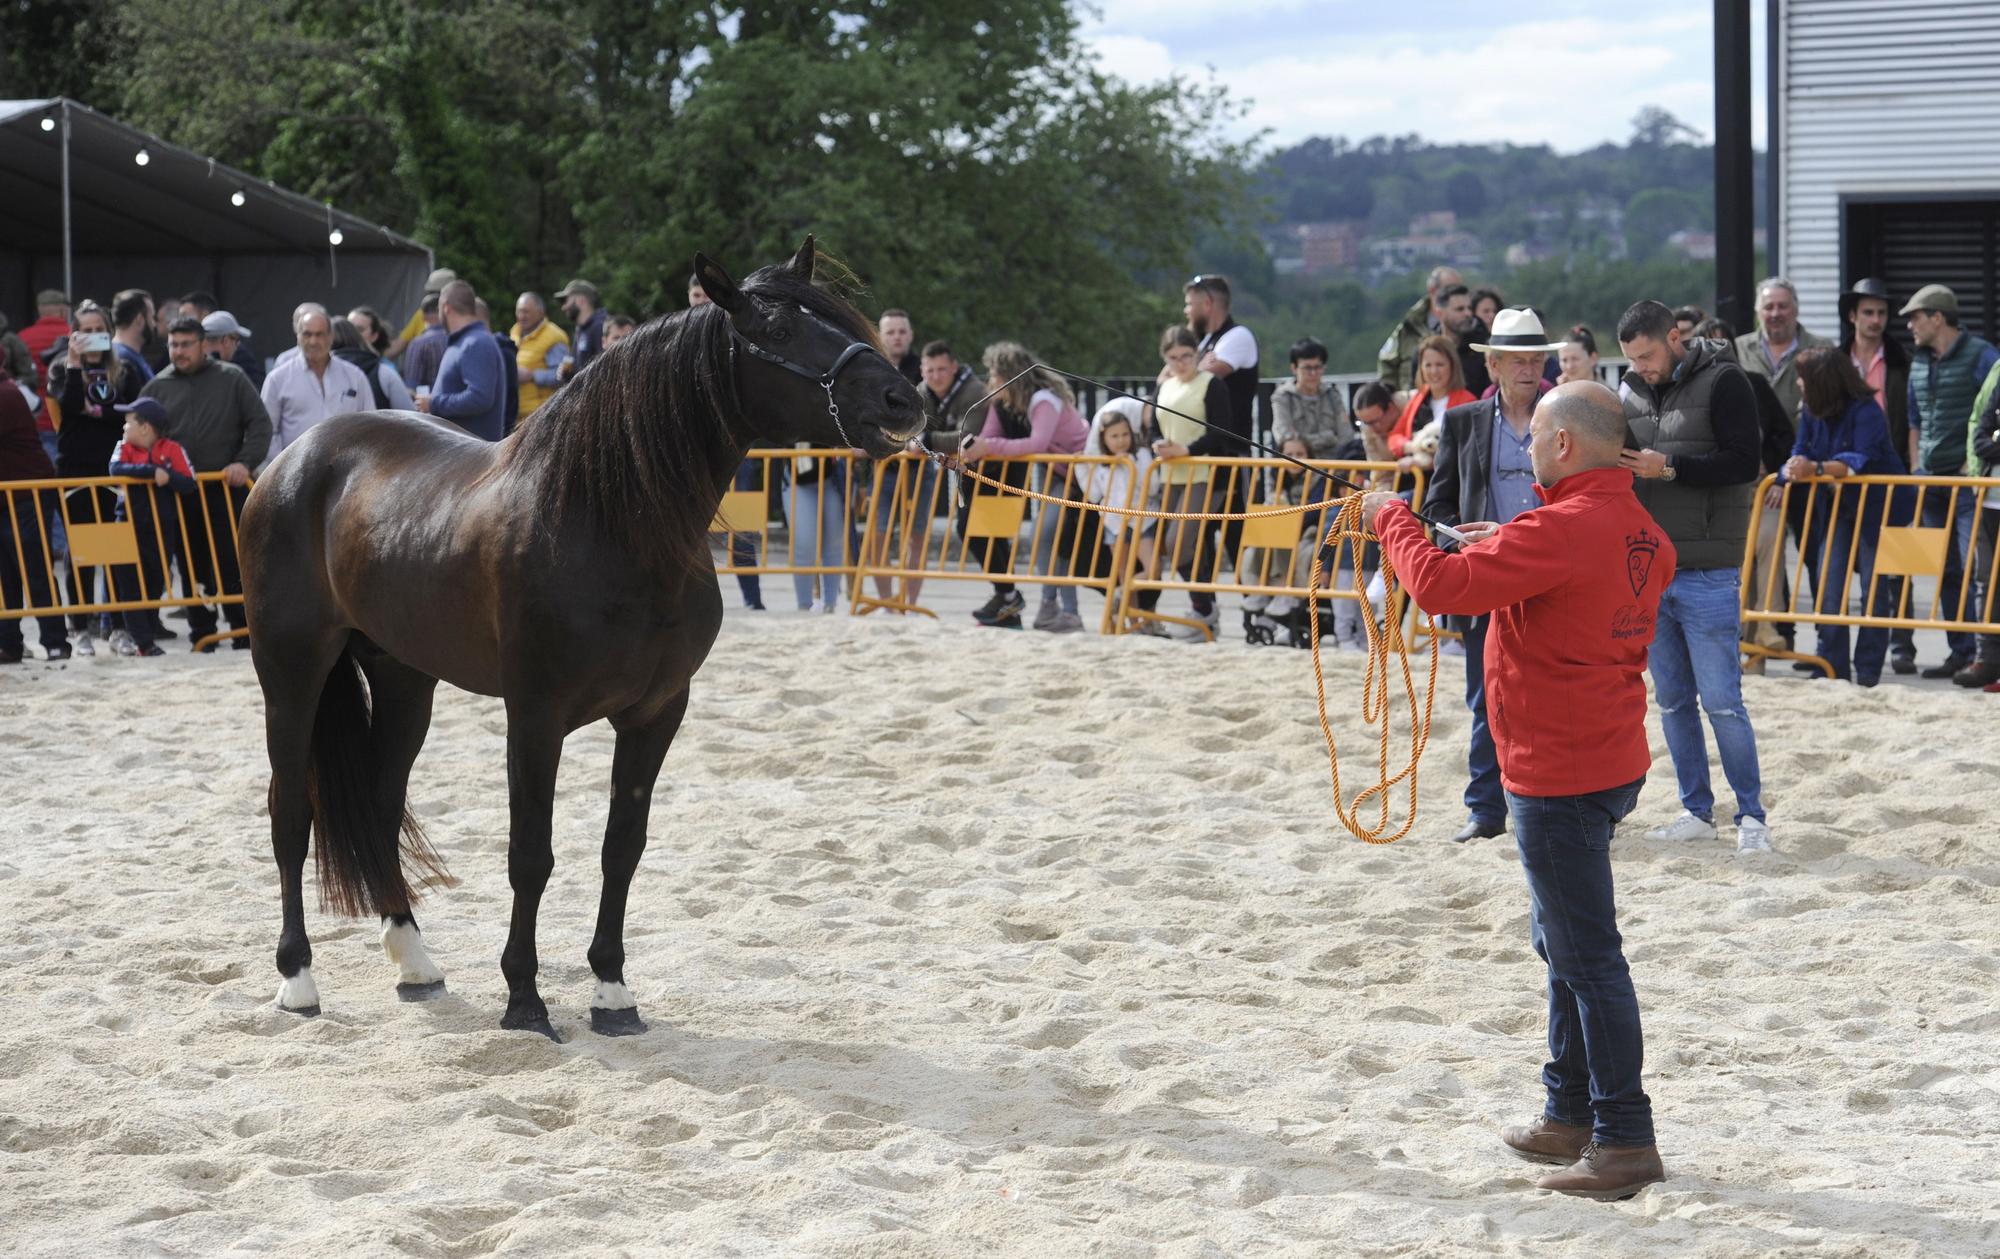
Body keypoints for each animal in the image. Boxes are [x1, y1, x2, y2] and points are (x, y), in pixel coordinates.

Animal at [240, 241, 920, 1039]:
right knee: (291, 812)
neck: (610, 526)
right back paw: (297, 980)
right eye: (780, 331)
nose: (904, 402)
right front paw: (525, 1000)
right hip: (291, 672)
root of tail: (294, 459)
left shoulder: (657, 713)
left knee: (378, 804)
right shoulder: (535, 718)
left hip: (406, 678)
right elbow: (531, 855)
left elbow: (621, 847)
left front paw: (612, 993)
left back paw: (414, 959)